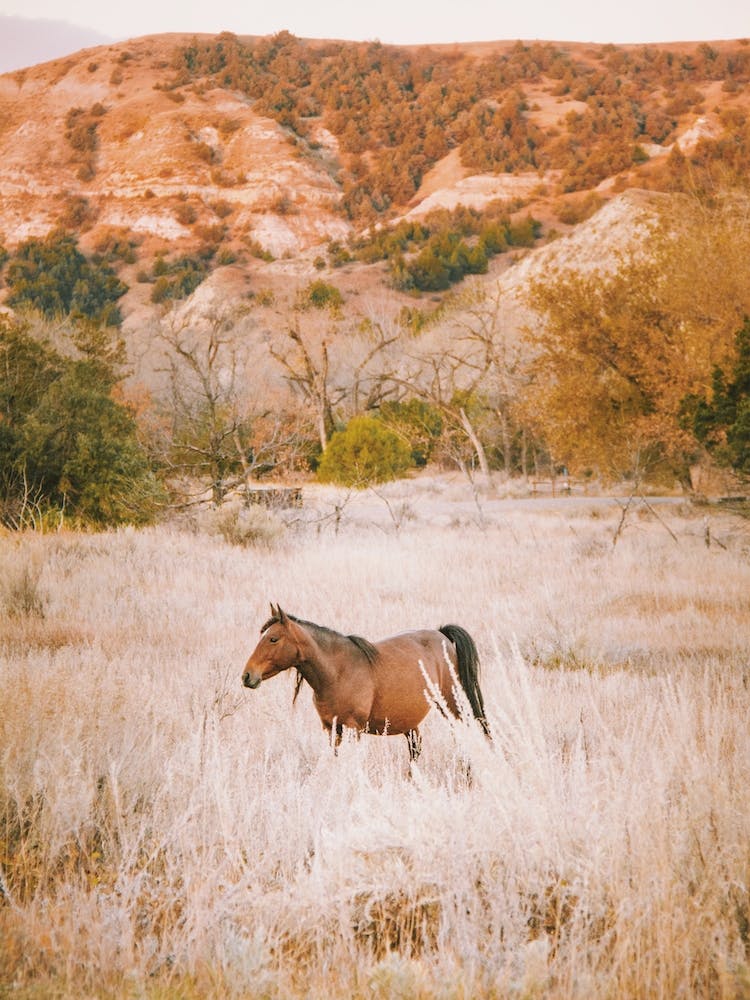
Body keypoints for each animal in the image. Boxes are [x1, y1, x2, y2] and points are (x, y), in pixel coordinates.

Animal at [241, 604, 489, 760]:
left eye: (273, 639)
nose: (247, 676)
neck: (337, 673)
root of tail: (443, 635)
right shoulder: (331, 729)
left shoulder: (354, 729)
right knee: (415, 747)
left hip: (452, 706)